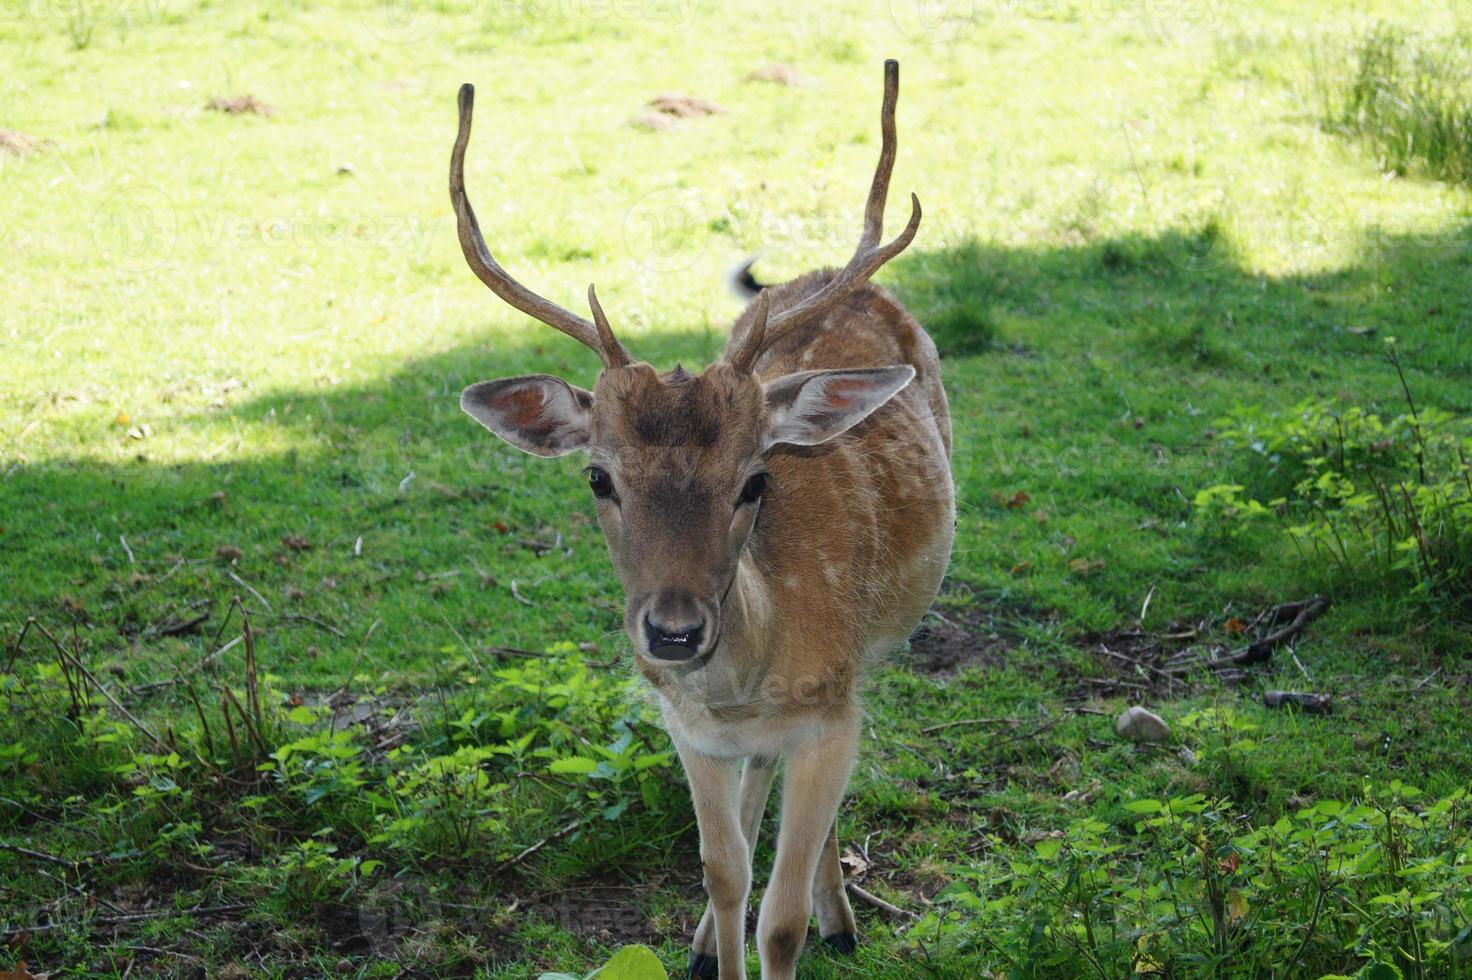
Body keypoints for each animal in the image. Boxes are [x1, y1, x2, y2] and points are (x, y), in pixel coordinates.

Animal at [450, 61, 953, 977]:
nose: (676, 632)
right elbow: (725, 873)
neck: (745, 682)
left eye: (755, 479)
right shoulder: (687, 732)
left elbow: (778, 918)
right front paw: (708, 938)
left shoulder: (836, 715)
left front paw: (809, 921)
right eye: (598, 477)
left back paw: (839, 915)